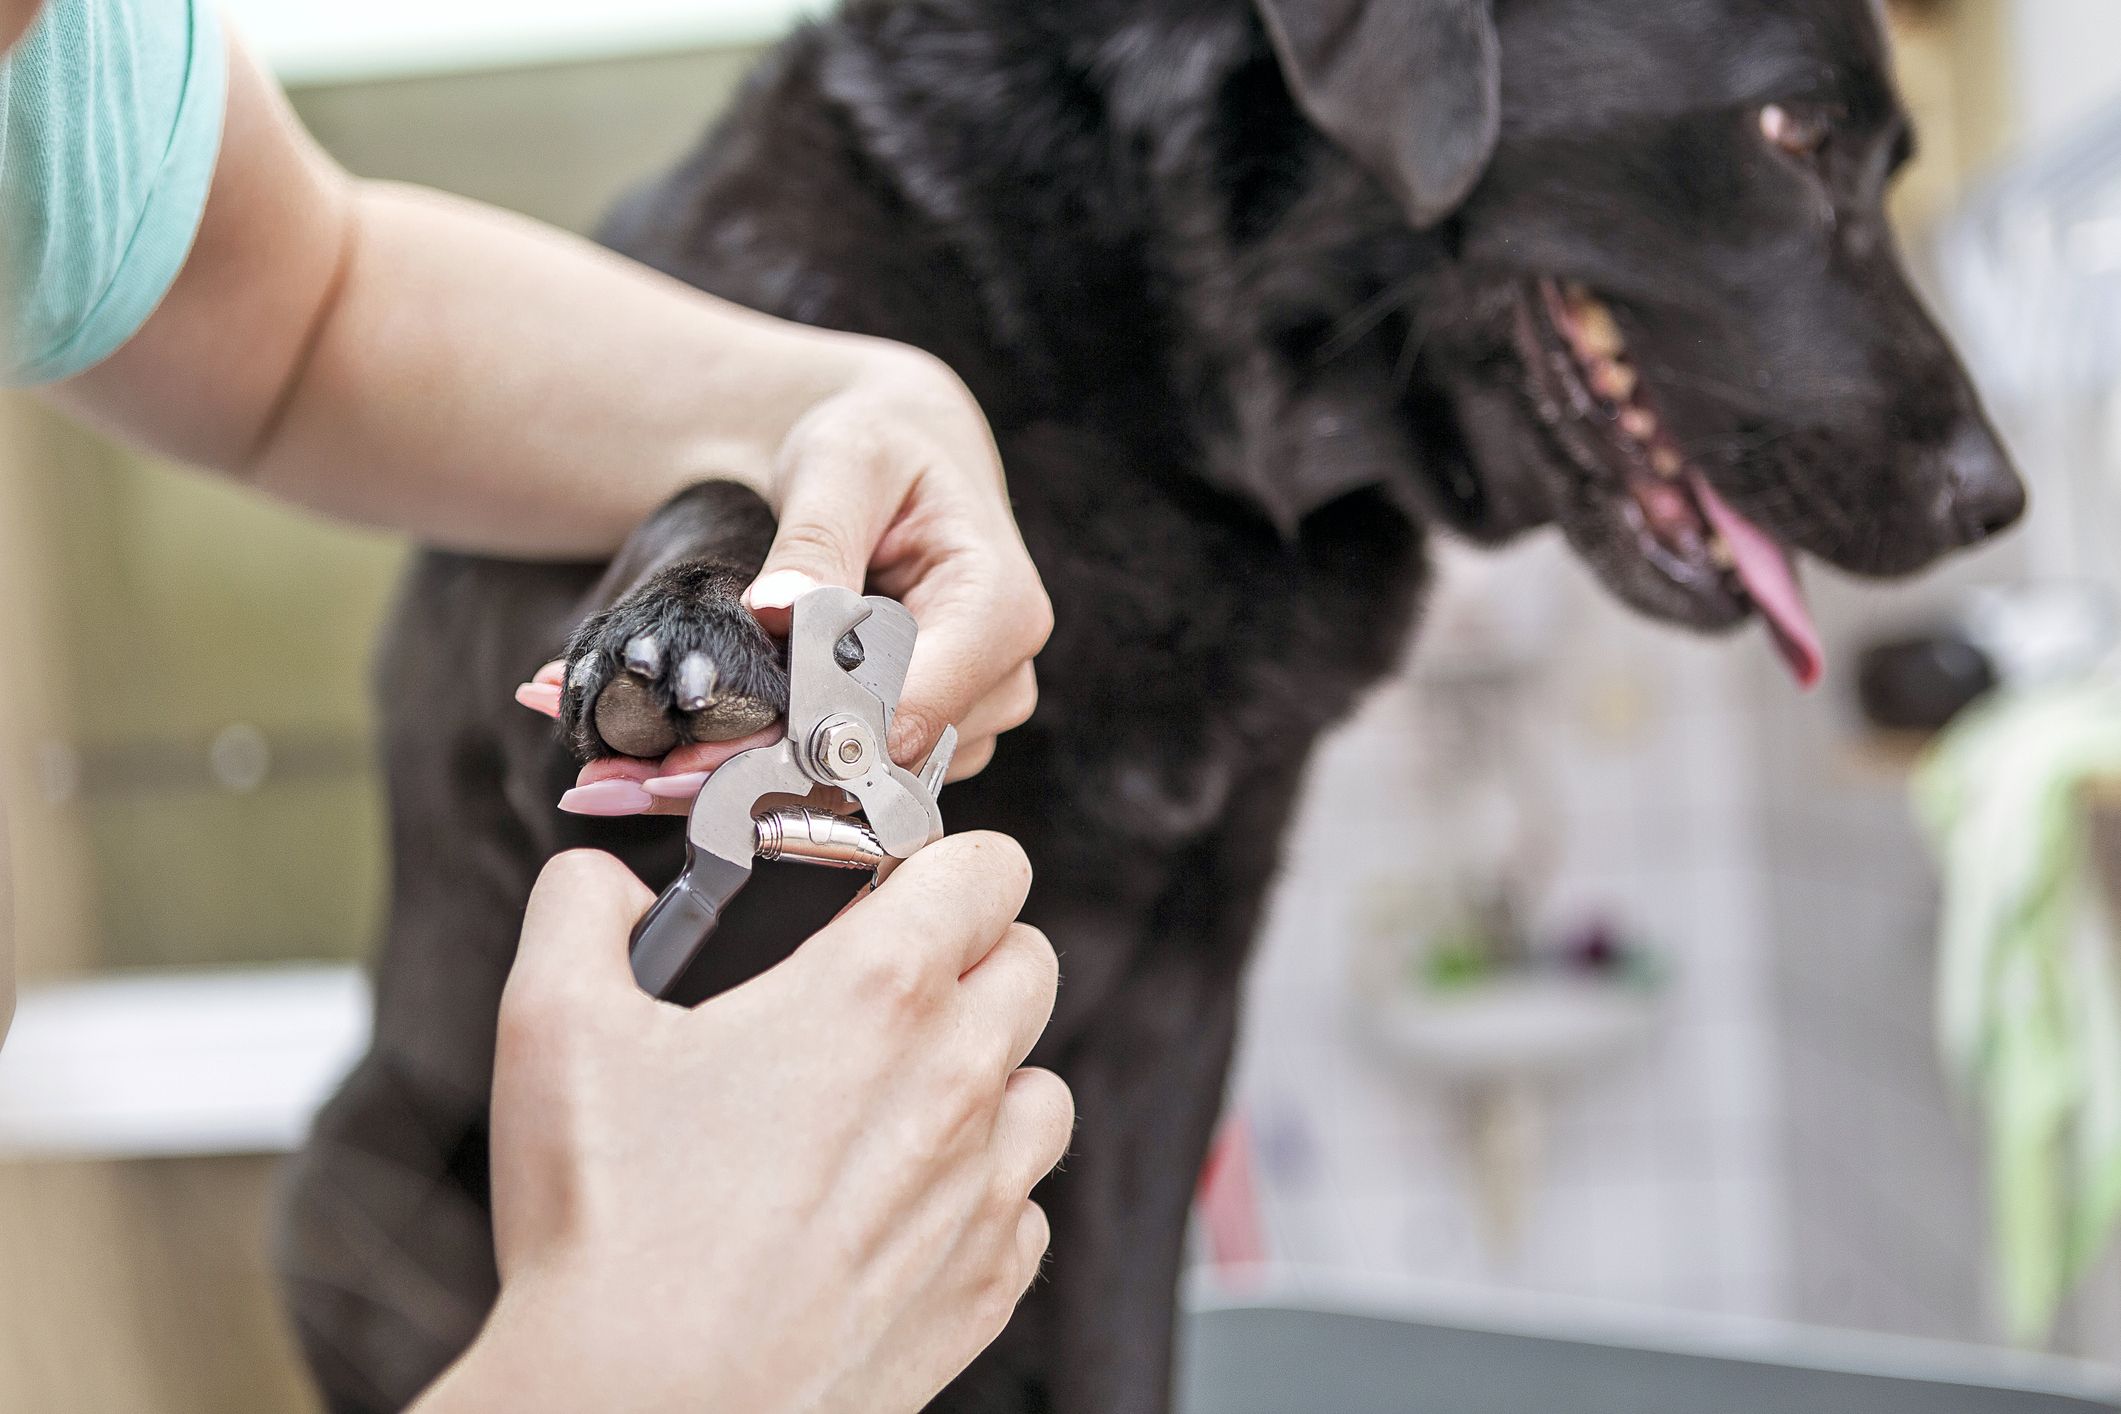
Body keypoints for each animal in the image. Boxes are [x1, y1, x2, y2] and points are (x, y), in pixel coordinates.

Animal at [277, 2, 2019, 1414]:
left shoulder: (1183, 996)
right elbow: (748, 468)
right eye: (1791, 131)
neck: (1155, 379)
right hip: (341, 1183)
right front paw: (687, 620)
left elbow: (1117, 1338)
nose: (1993, 497)